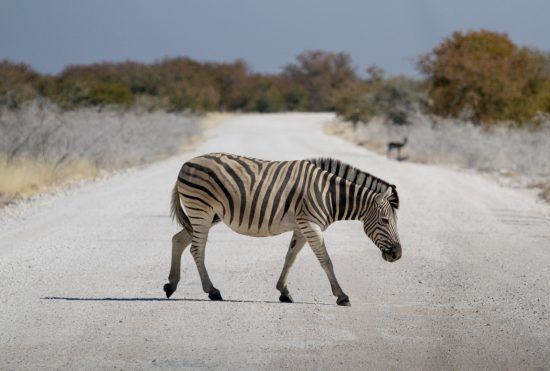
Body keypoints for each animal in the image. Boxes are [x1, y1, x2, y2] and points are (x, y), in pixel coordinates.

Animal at [164, 153, 402, 306]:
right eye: (384, 221)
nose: (397, 255)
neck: (330, 194)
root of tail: (186, 163)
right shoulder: (311, 224)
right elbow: (326, 260)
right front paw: (341, 296)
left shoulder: (302, 226)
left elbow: (290, 258)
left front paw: (284, 292)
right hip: (202, 210)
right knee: (196, 249)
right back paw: (212, 291)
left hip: (209, 215)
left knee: (178, 239)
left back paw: (171, 285)